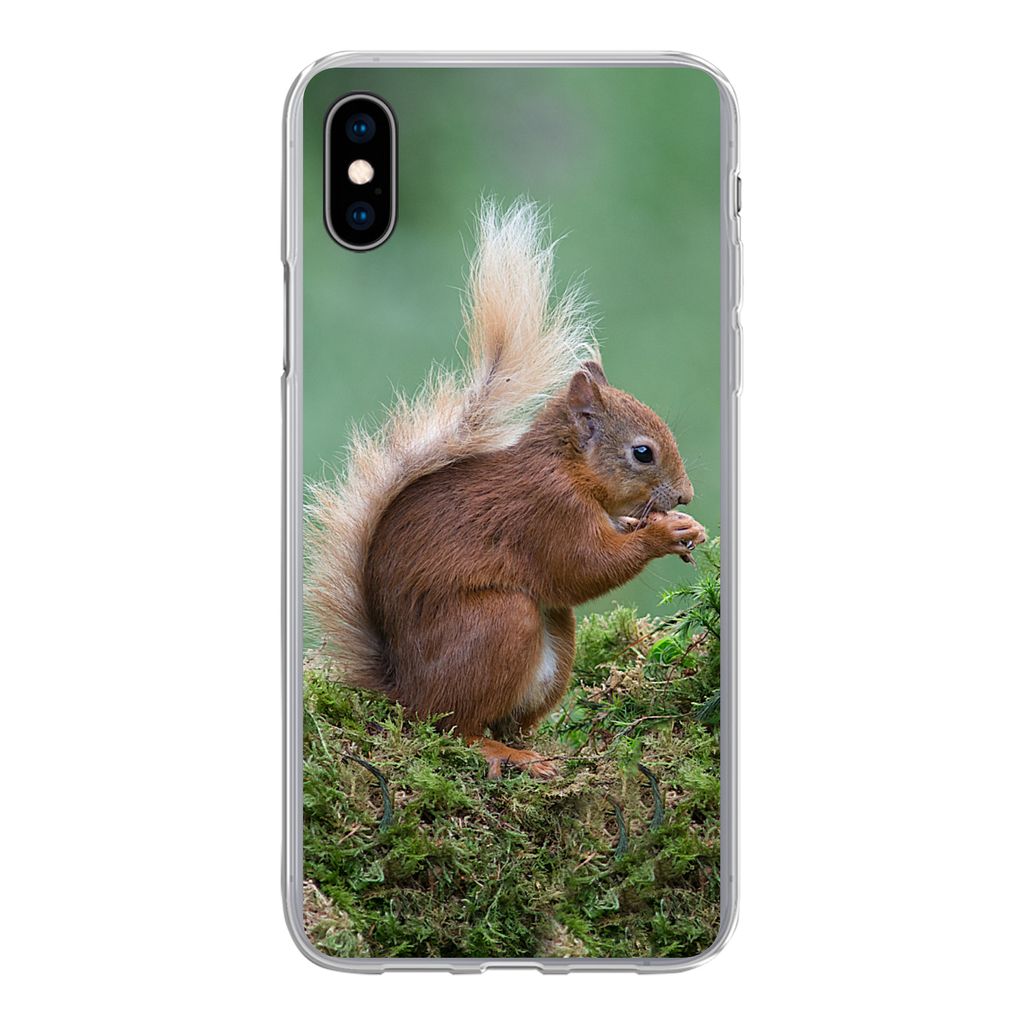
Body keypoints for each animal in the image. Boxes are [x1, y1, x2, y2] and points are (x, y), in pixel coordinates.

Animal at [307, 201, 706, 779]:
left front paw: (682, 527)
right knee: (455, 727)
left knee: (508, 717)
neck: (567, 468)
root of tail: (404, 690)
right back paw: (501, 753)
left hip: (555, 642)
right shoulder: (546, 511)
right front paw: (662, 533)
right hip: (499, 624)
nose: (687, 496)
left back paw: (534, 748)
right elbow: (583, 567)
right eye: (642, 453)